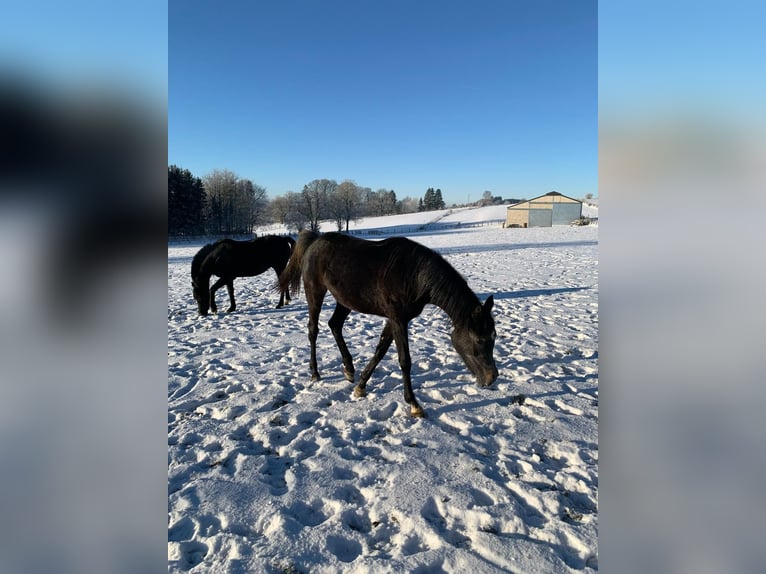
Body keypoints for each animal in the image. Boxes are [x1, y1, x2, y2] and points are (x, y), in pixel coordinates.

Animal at [280, 231, 500, 418]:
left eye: (494, 336)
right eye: (479, 339)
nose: (492, 378)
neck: (413, 275)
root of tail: (315, 240)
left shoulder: (394, 320)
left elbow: (381, 350)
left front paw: (361, 386)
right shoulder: (398, 320)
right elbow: (404, 360)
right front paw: (414, 404)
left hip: (345, 301)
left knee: (335, 325)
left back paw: (349, 369)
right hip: (315, 293)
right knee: (313, 330)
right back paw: (315, 373)